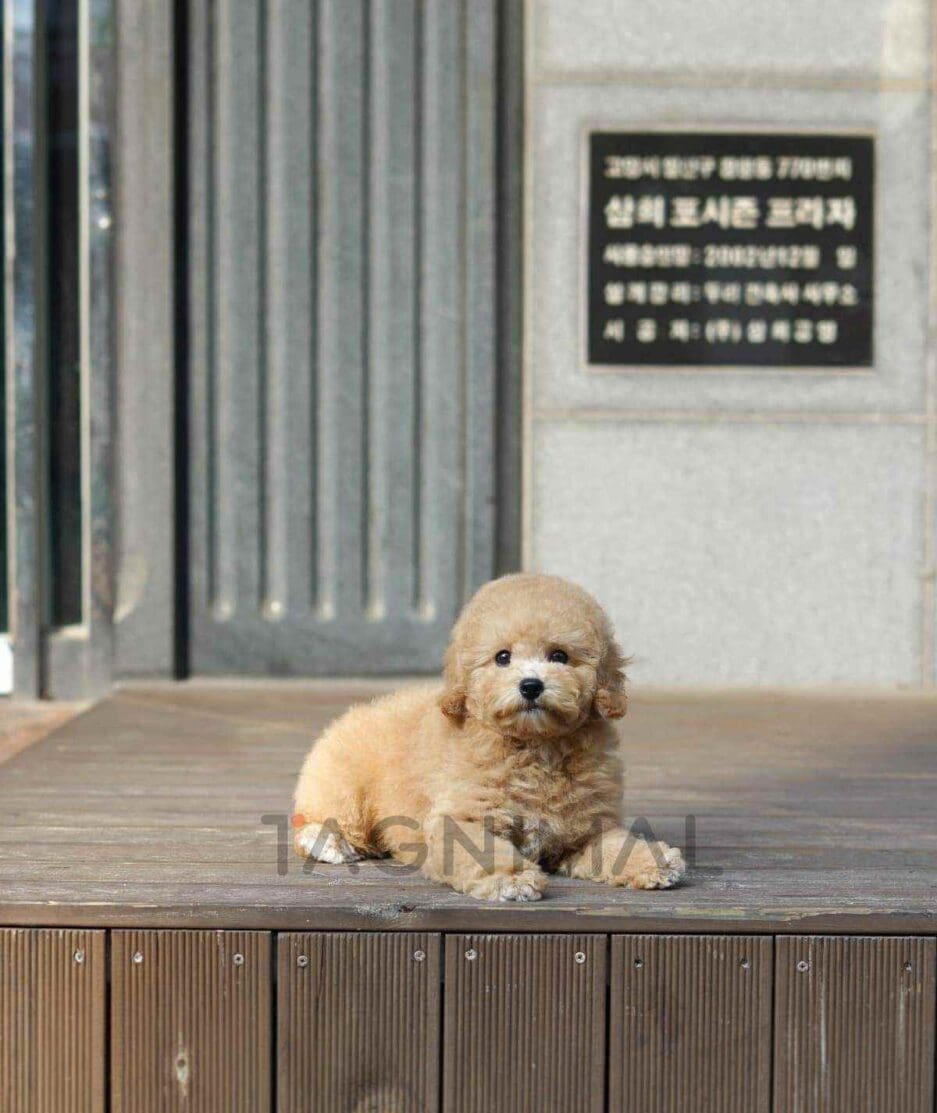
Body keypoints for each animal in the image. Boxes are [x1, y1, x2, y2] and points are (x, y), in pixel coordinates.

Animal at [296, 569, 681, 899]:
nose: (531, 686)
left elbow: (616, 844)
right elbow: (481, 849)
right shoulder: (461, 817)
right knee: (314, 817)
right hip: (341, 782)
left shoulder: (586, 826)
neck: (534, 748)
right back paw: (330, 843)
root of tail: (354, 713)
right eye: (502, 657)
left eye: (559, 655)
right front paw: (510, 879)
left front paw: (654, 861)